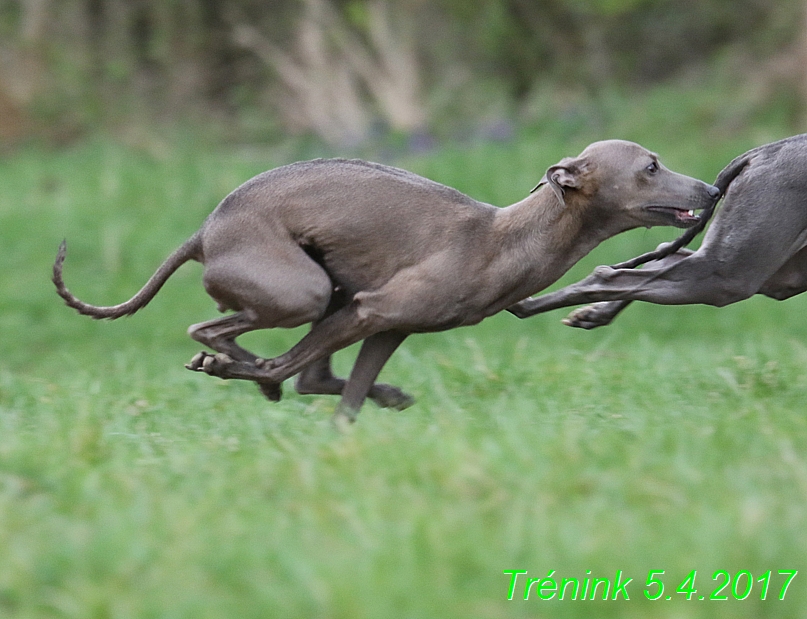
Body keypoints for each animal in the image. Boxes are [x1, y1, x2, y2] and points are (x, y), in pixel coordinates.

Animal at [52, 140, 720, 422]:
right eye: (651, 166)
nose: (713, 191)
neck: (504, 237)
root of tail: (203, 232)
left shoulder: (386, 325)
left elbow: (342, 397)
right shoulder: (373, 309)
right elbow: (290, 368)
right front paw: (246, 375)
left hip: (332, 291)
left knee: (297, 368)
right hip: (305, 291)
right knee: (217, 332)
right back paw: (234, 366)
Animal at [512, 134, 807, 330]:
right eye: (652, 167)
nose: (713, 192)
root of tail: (764, 150)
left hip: (779, 270)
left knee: (656, 260)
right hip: (732, 274)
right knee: (609, 276)